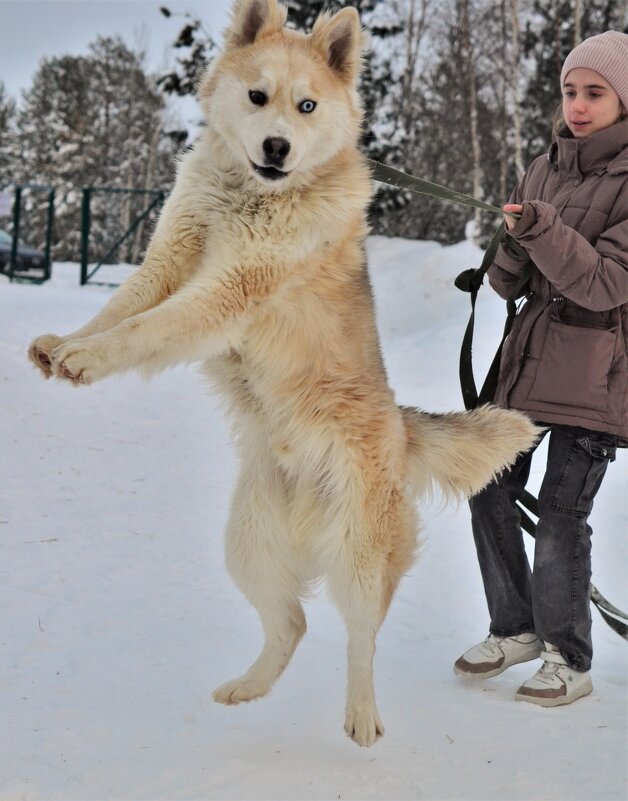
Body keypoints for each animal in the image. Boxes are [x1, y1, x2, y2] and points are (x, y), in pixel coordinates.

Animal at [28, 0, 540, 748]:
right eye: (257, 96)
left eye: (306, 105)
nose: (277, 147)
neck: (248, 196)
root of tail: (401, 429)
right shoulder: (171, 258)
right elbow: (122, 307)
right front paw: (65, 343)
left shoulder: (228, 289)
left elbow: (149, 328)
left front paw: (89, 358)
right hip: (247, 546)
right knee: (292, 624)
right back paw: (247, 686)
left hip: (357, 557)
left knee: (361, 636)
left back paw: (362, 716)